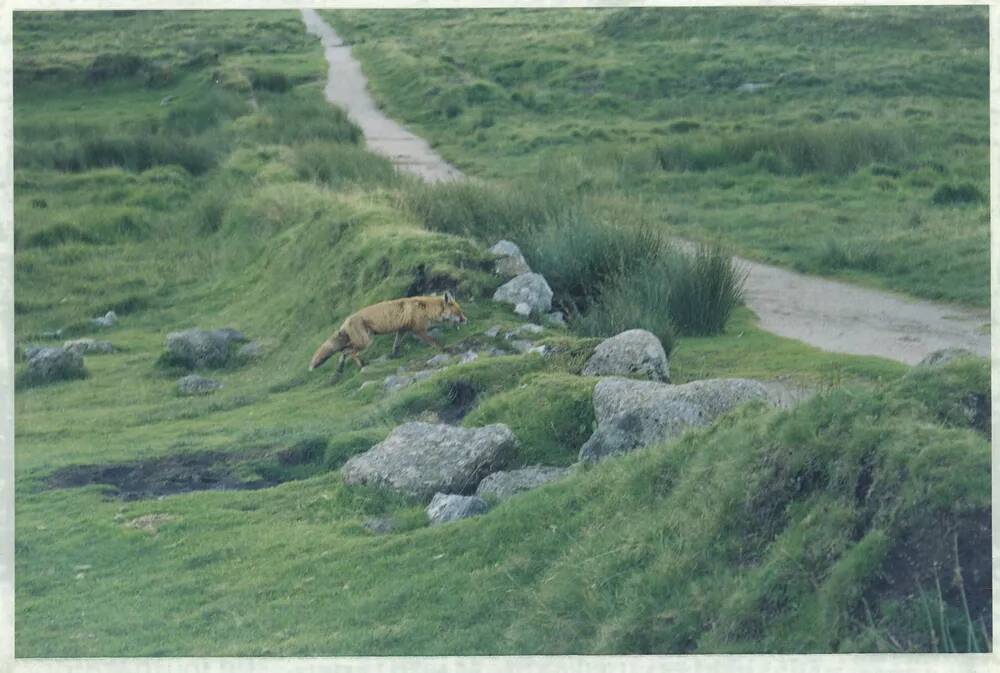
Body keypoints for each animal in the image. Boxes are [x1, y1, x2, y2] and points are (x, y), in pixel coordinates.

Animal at [308, 290, 468, 372]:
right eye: (459, 312)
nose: (466, 320)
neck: (424, 308)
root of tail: (345, 322)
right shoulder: (418, 330)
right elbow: (435, 342)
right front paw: (446, 350)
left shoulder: (402, 330)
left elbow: (396, 344)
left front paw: (394, 356)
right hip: (365, 341)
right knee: (348, 351)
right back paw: (360, 365)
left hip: (362, 341)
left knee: (343, 351)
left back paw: (341, 368)